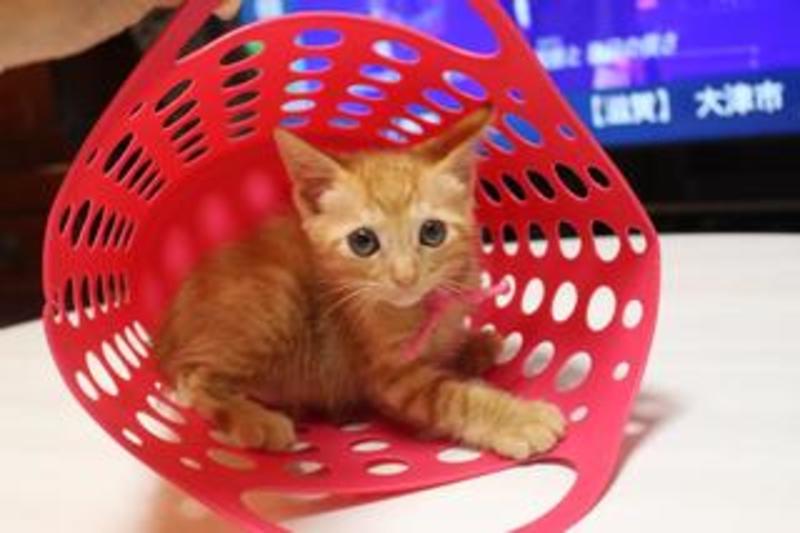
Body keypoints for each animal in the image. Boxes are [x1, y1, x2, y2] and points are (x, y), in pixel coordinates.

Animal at [155, 107, 565, 460]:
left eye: (432, 232)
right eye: (362, 242)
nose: (405, 276)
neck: (423, 310)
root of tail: (166, 333)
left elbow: (446, 350)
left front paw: (473, 346)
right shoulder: (392, 378)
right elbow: (452, 397)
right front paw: (521, 420)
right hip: (276, 300)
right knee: (193, 380)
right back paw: (258, 422)